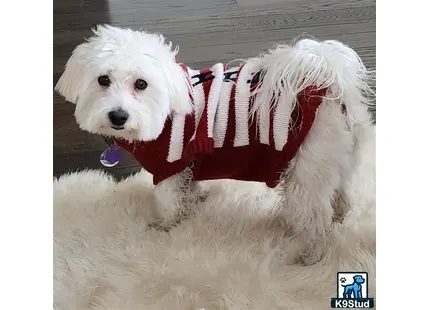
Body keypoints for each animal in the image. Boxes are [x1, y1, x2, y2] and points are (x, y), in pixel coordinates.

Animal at [54, 24, 376, 266]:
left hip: (307, 173)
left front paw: (165, 226)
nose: (118, 116)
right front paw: (196, 199)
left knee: (316, 219)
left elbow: (169, 200)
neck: (170, 102)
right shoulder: (186, 163)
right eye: (102, 80)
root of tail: (330, 86)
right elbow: (189, 187)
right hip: (336, 159)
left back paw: (311, 255)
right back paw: (340, 214)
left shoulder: (169, 164)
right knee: (342, 191)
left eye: (141, 84)